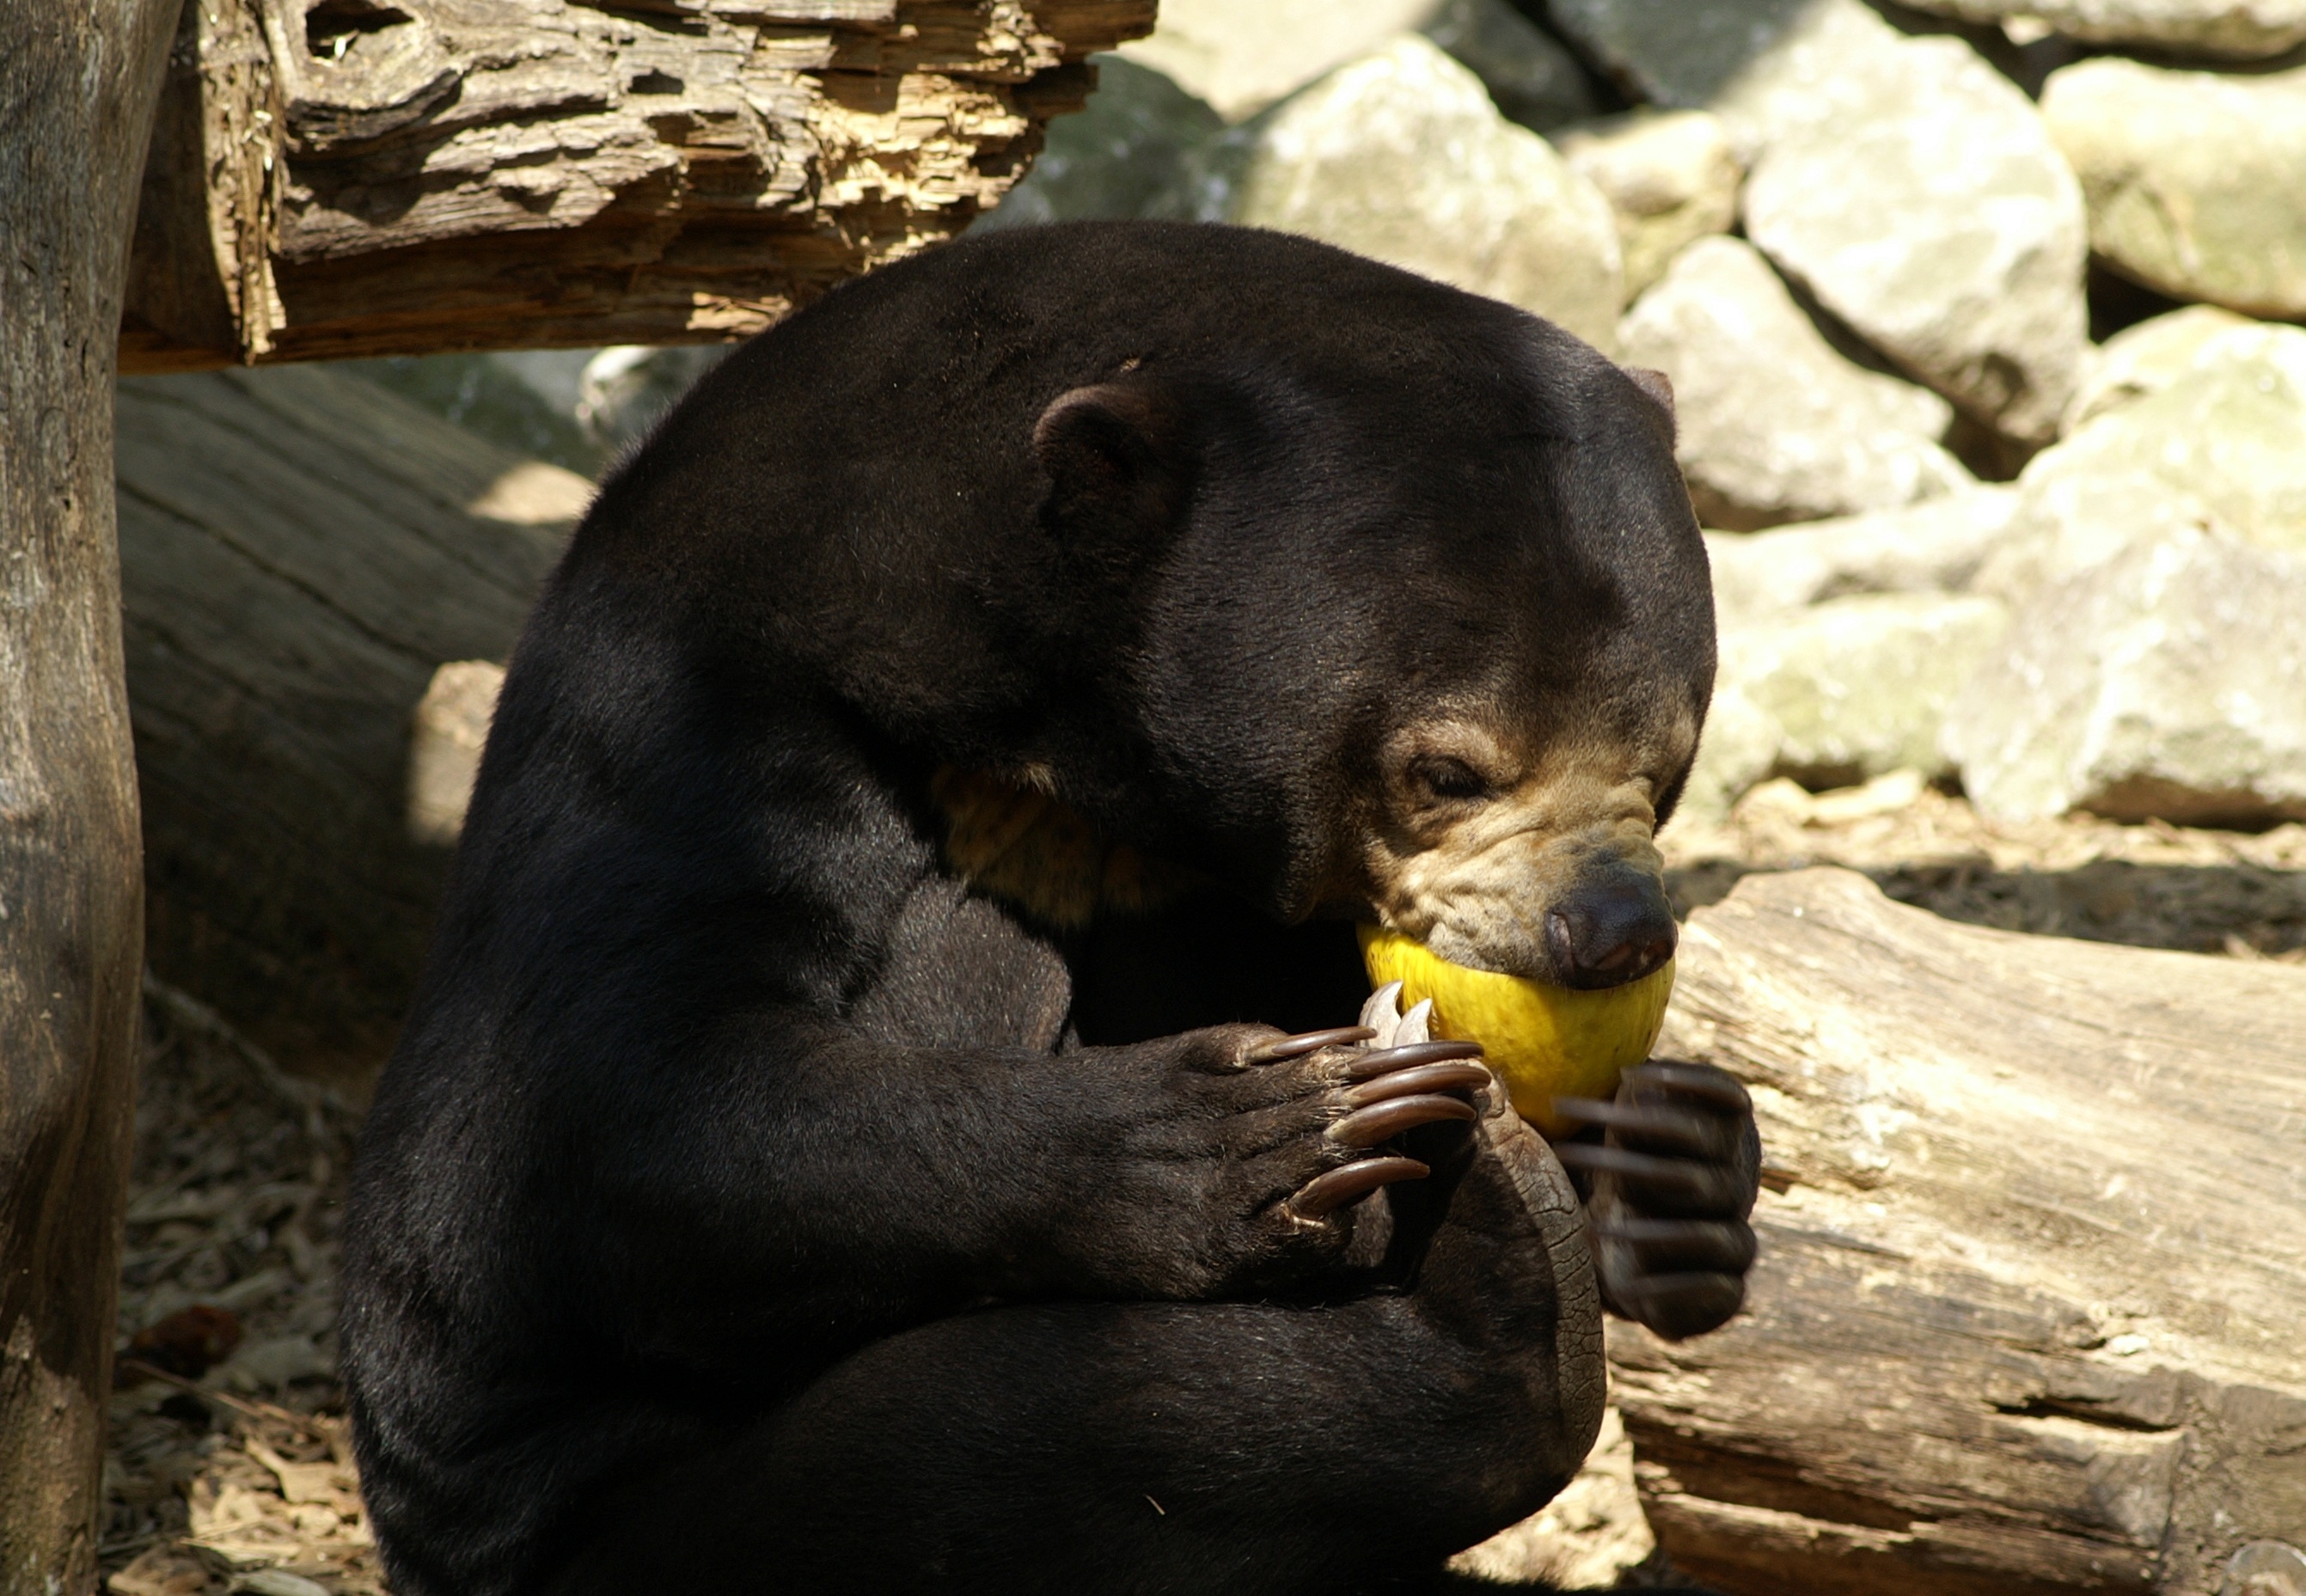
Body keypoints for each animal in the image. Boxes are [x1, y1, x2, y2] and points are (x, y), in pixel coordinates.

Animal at [341, 221, 1752, 1596]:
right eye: (1446, 770)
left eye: (1669, 762)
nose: (1610, 935)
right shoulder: (709, 709)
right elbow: (615, 1114)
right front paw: (1263, 1129)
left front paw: (1678, 1164)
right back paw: (1496, 1278)